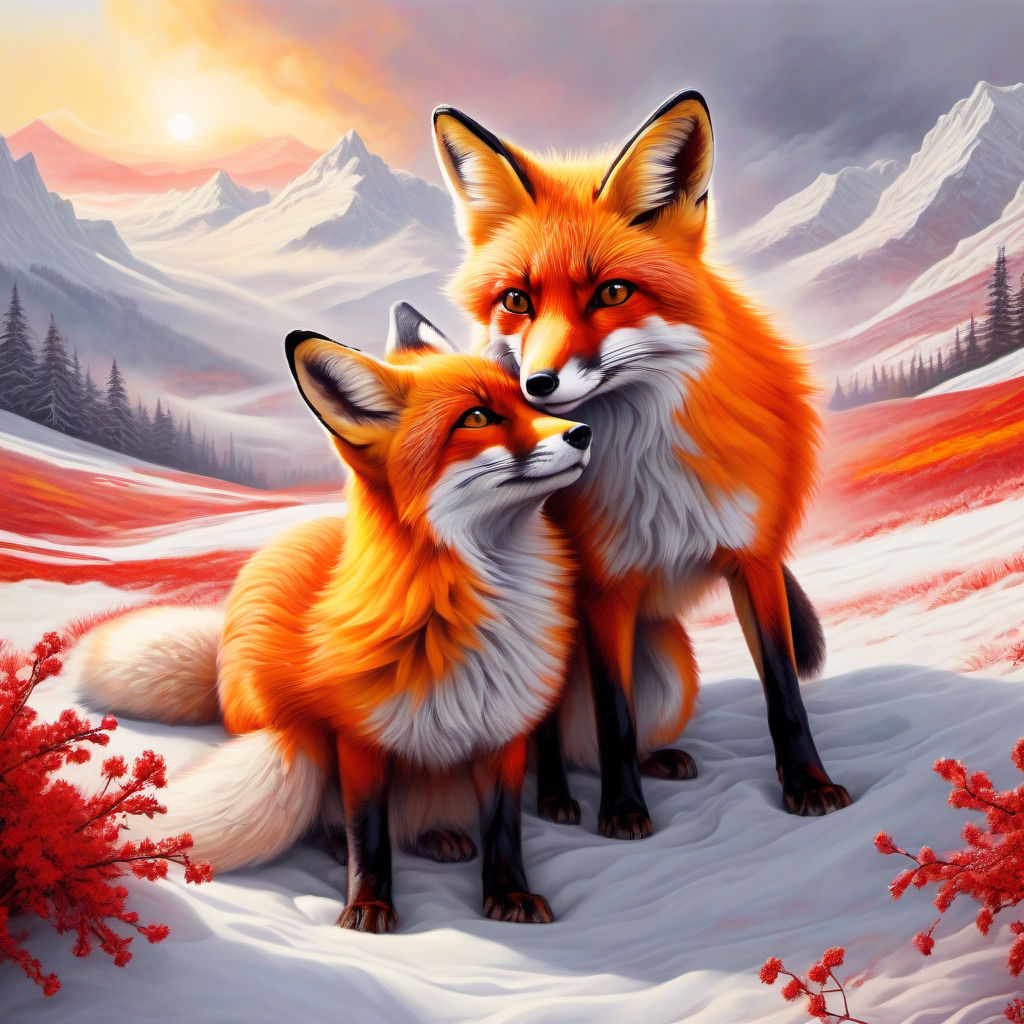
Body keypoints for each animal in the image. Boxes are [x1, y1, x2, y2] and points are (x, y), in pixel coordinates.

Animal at [74, 302, 593, 931]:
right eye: (477, 417)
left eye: (530, 402)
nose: (583, 432)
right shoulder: (357, 740)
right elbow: (366, 832)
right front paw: (368, 906)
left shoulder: (503, 732)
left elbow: (504, 827)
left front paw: (510, 893)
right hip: (288, 730)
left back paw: (437, 835)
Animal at [430, 90, 851, 839]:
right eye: (517, 301)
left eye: (611, 293)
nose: (537, 386)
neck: (653, 470)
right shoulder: (604, 587)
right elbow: (613, 714)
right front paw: (622, 810)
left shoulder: (755, 559)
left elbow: (782, 690)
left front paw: (808, 783)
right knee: (547, 732)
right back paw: (557, 795)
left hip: (674, 667)